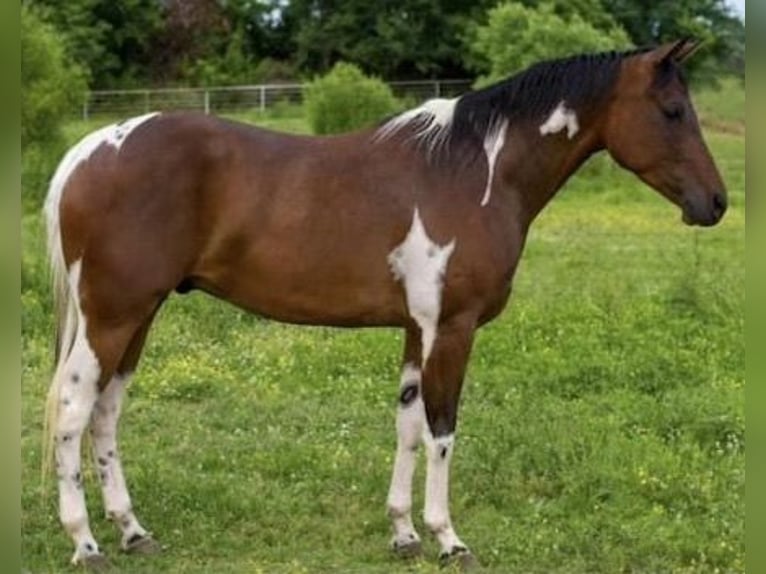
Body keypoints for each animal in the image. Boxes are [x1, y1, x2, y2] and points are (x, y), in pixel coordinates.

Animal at [40, 39, 728, 572]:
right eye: (672, 111)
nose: (716, 203)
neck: (476, 171)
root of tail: (91, 149)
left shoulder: (416, 330)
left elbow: (407, 424)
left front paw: (403, 532)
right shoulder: (452, 328)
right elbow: (443, 428)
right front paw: (449, 539)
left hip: (138, 317)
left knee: (106, 412)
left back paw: (133, 532)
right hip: (114, 315)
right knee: (74, 410)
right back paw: (86, 543)